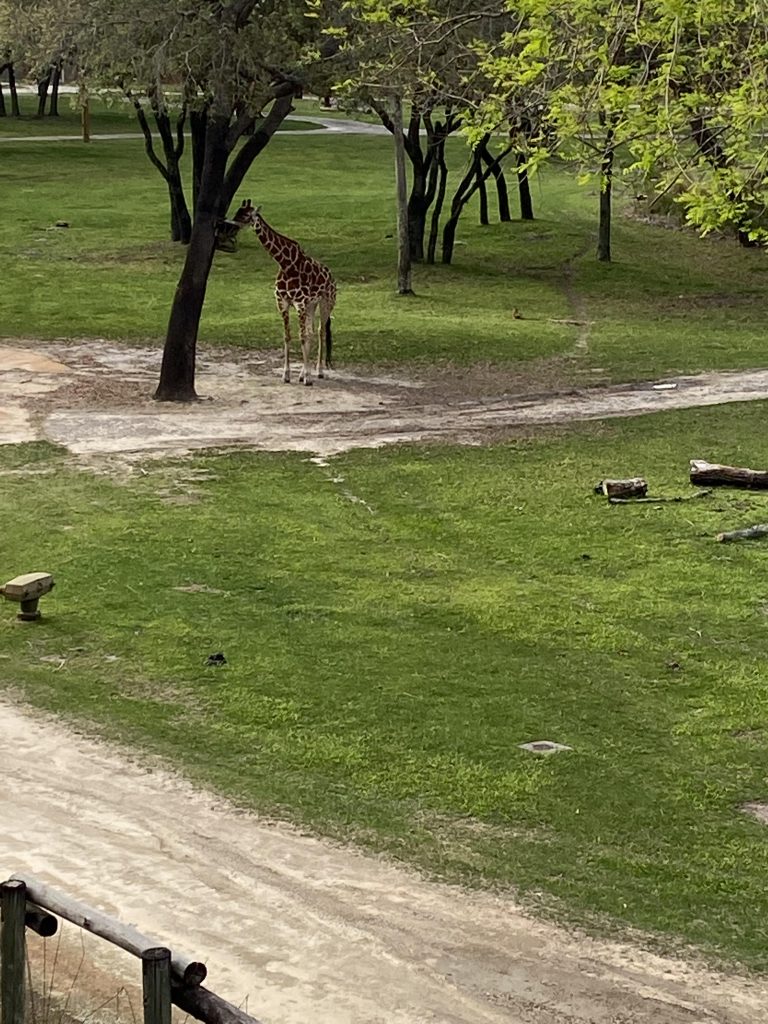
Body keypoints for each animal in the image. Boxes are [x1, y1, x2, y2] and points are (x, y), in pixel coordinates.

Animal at [234, 199, 335, 385]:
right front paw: (287, 375)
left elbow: (301, 336)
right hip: (311, 305)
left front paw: (308, 378)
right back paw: (302, 373)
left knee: (320, 331)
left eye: (245, 215)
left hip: (326, 302)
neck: (286, 264)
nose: (230, 224)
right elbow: (288, 336)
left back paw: (318, 371)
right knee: (310, 332)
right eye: (237, 212)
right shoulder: (283, 302)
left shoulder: (300, 303)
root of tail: (331, 276)